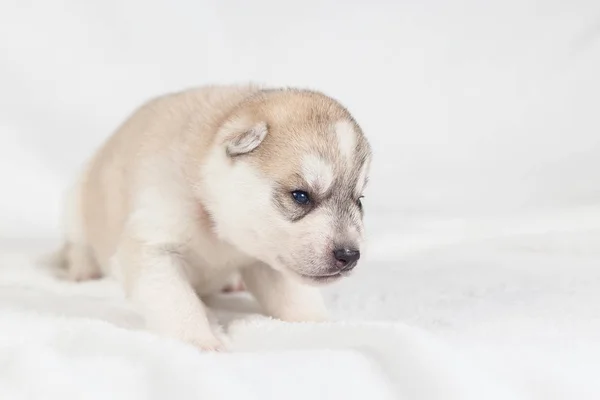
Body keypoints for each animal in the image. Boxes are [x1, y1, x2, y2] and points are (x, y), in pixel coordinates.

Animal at [58, 85, 372, 350]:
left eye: (359, 200)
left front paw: (319, 324)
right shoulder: (153, 246)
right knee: (79, 244)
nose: (349, 255)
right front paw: (201, 341)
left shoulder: (266, 261)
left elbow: (294, 296)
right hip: (76, 203)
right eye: (301, 196)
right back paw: (83, 270)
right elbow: (178, 300)